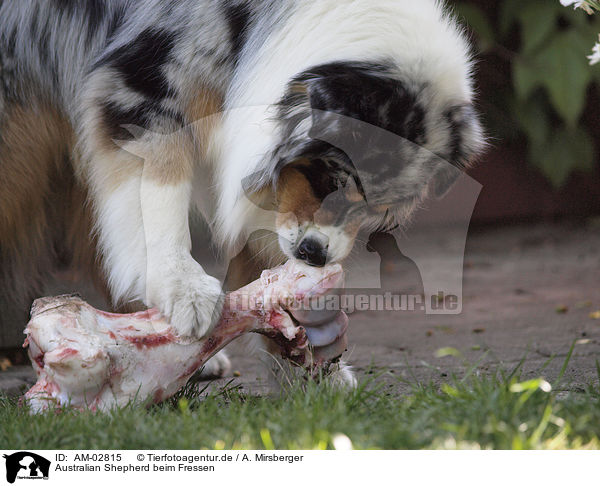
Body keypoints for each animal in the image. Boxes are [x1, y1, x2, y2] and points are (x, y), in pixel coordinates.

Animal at [0, 0, 486, 388]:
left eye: (376, 206)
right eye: (329, 178)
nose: (316, 254)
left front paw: (310, 363)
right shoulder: (142, 81)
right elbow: (158, 192)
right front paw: (182, 287)